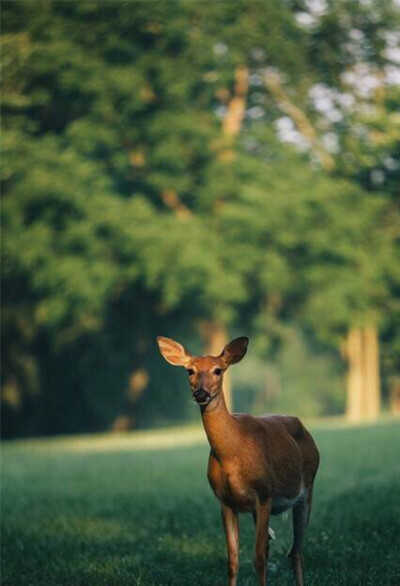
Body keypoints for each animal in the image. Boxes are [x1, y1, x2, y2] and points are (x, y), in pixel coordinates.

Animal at [158, 334, 320, 584]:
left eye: (218, 370)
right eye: (189, 371)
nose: (201, 394)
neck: (232, 454)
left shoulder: (264, 495)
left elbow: (259, 559)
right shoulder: (225, 501)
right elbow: (233, 560)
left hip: (307, 490)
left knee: (296, 551)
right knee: (282, 548)